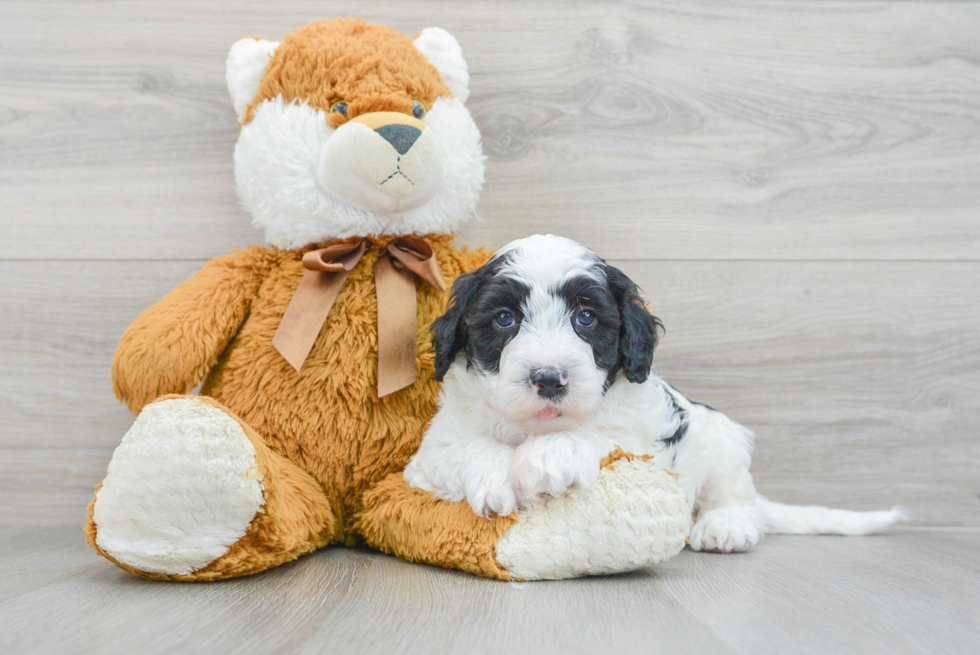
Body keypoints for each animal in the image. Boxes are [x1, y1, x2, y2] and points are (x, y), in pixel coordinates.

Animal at [402, 233, 908, 552]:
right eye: (504, 319)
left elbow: (597, 436)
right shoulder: (427, 456)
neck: (534, 427)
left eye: (586, 317)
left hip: (721, 442)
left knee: (738, 500)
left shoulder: (638, 438)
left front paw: (548, 458)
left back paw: (725, 528)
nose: (548, 378)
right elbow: (464, 448)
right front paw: (496, 481)